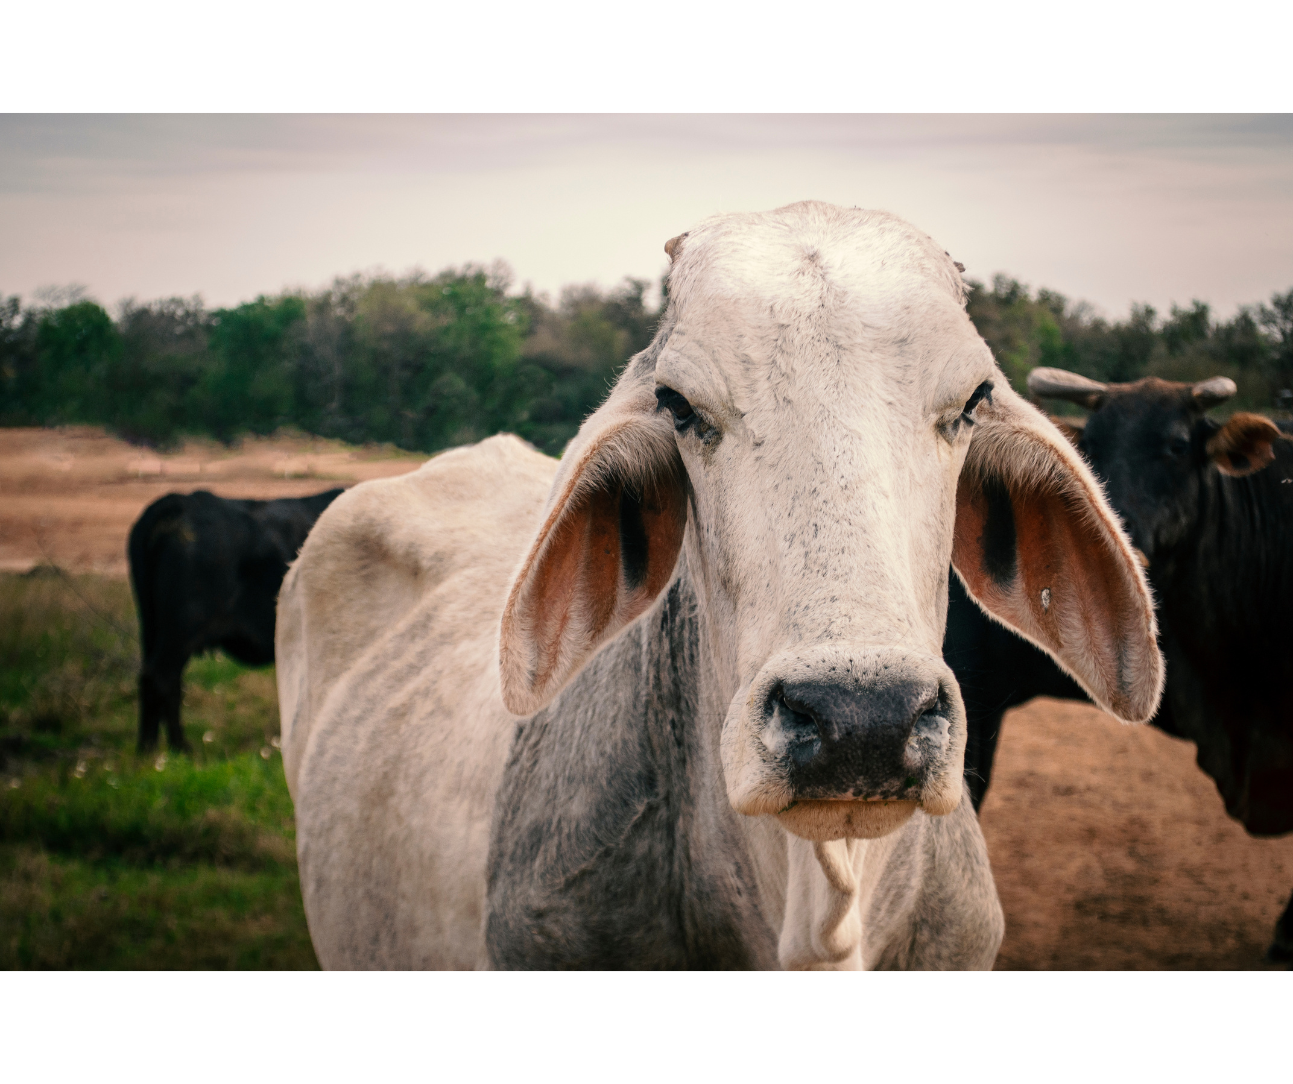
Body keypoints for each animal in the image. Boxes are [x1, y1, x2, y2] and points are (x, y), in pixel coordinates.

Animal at [128, 487, 344, 753]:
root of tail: (184, 500)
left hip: (153, 628)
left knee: (165, 681)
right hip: (182, 628)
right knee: (160, 678)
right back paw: (167, 749)